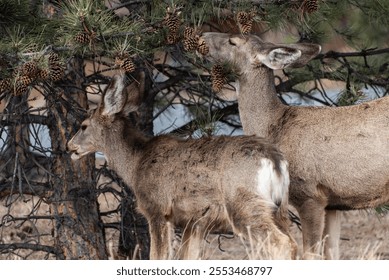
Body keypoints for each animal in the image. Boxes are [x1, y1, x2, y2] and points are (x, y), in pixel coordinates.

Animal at [67, 73, 298, 260]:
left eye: (83, 126)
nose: (70, 145)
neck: (136, 163)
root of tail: (275, 160)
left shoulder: (157, 208)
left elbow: (158, 258)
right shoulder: (194, 222)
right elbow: (188, 257)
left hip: (245, 204)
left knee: (282, 243)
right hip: (279, 208)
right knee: (293, 243)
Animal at [200, 31, 388, 260]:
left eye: (232, 41)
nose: (202, 35)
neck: (275, 128)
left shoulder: (310, 195)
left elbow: (311, 255)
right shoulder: (333, 203)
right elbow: (332, 254)